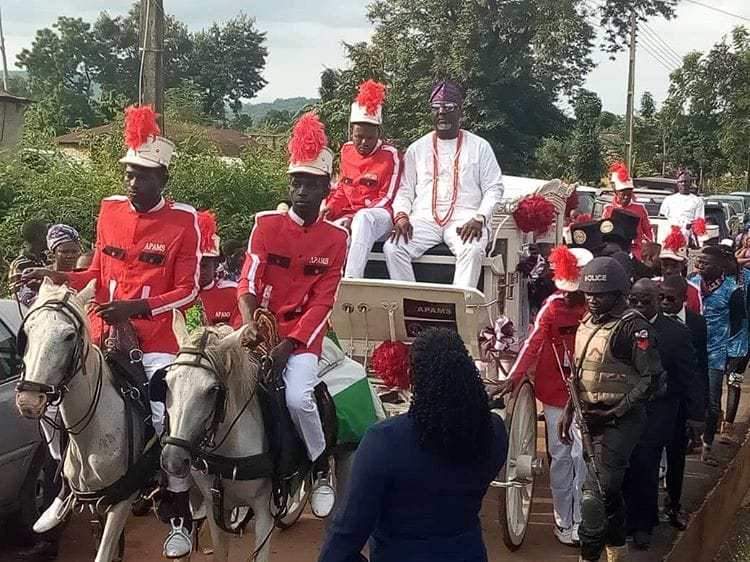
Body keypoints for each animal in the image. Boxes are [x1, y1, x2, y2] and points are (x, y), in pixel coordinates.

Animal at [15, 280, 142, 560]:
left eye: (69, 336)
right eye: (27, 332)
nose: (29, 400)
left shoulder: (121, 501)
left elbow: (103, 552)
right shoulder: (95, 502)